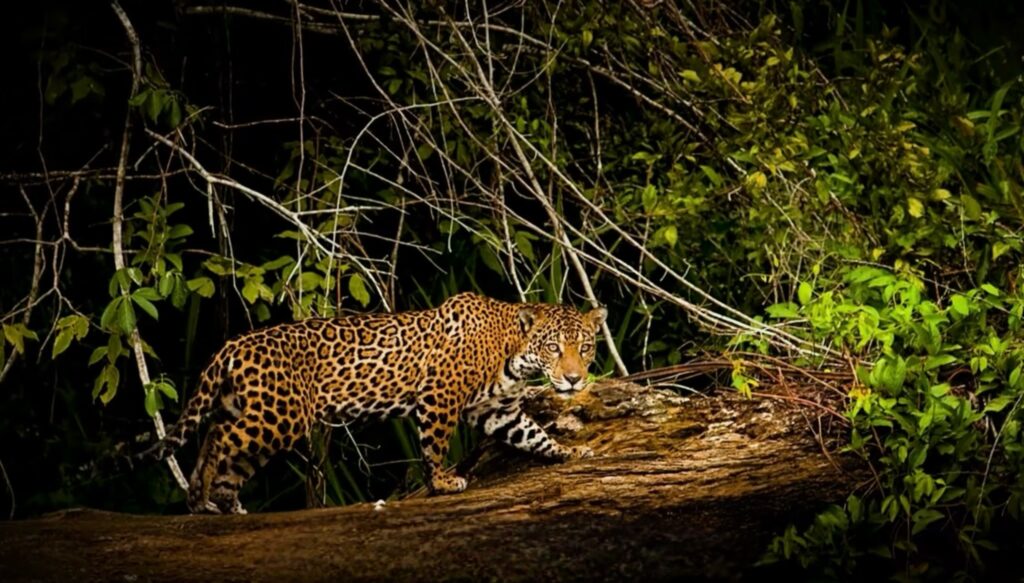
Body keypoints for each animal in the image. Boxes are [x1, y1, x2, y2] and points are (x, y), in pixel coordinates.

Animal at [135, 291, 607, 514]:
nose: (573, 378)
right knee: (218, 439)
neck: (511, 349)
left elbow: (532, 434)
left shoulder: (497, 411)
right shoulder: (439, 395)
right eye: (553, 348)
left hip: (253, 410)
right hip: (280, 415)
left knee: (221, 438)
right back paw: (201, 500)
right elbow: (435, 443)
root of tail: (233, 344)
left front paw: (569, 452)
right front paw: (442, 482)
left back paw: (223, 505)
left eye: (584, 347)